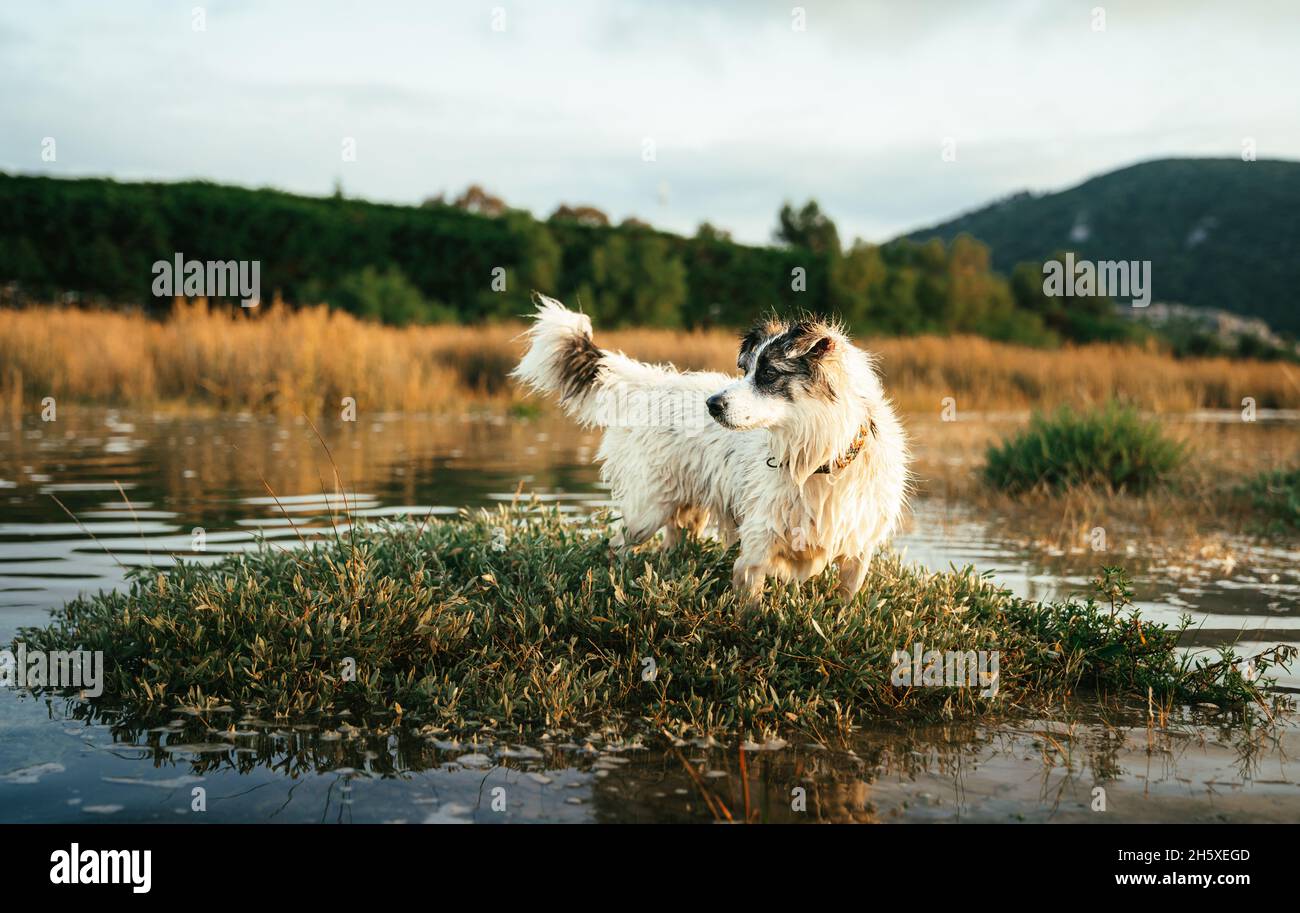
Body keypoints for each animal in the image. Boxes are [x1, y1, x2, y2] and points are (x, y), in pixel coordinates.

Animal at [512, 296, 909, 603]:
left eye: (768, 374)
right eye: (745, 369)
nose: (712, 405)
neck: (819, 461)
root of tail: (652, 385)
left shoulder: (858, 550)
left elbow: (845, 600)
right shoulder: (756, 548)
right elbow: (750, 608)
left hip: (686, 512)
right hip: (646, 510)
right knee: (616, 545)